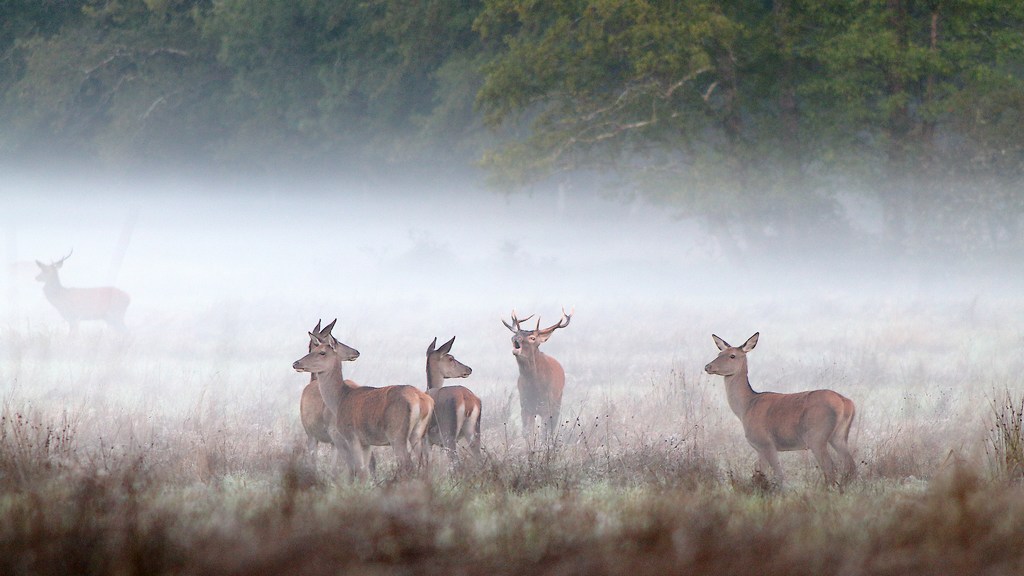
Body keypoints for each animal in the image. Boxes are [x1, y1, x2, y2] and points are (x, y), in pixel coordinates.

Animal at [292, 321, 434, 479]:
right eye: (314, 348)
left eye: (322, 352)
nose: (296, 363)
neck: (340, 399)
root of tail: (422, 401)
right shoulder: (366, 442)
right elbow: (365, 470)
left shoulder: (351, 436)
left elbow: (359, 471)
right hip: (418, 433)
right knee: (425, 463)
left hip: (397, 434)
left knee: (408, 465)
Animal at [424, 336, 481, 466]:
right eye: (451, 358)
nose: (469, 369)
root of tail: (467, 399)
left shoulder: (426, 440)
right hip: (473, 433)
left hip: (449, 435)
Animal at [502, 308, 572, 442]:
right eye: (515, 335)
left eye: (532, 338)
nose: (515, 338)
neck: (536, 388)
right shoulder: (525, 406)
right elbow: (527, 432)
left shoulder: (547, 407)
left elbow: (544, 434)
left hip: (557, 402)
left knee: (551, 428)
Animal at [704, 332, 857, 488]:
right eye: (719, 353)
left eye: (732, 355)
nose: (708, 366)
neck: (746, 407)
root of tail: (846, 403)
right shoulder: (759, 448)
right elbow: (760, 474)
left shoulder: (765, 442)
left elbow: (779, 475)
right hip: (839, 436)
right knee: (850, 465)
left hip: (816, 436)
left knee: (830, 467)